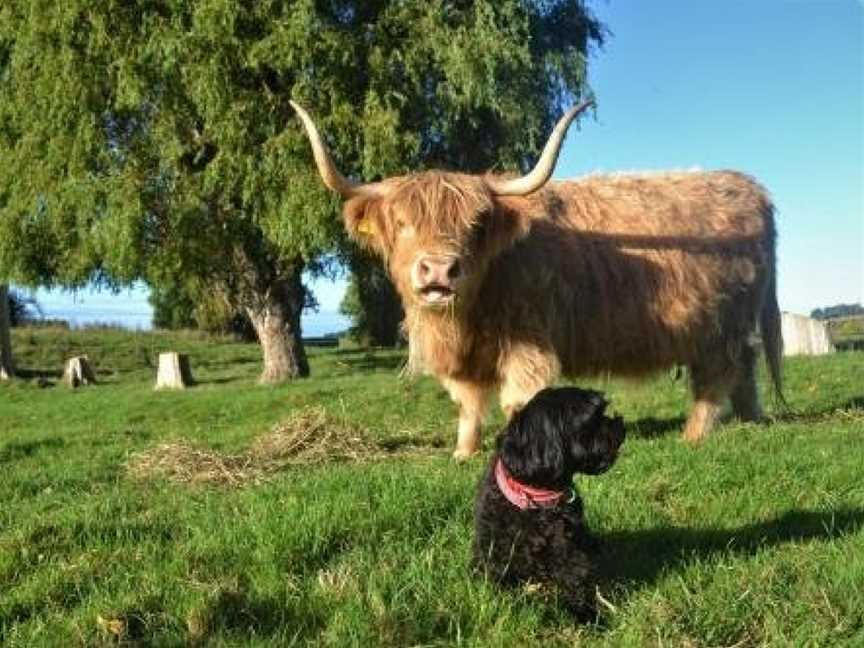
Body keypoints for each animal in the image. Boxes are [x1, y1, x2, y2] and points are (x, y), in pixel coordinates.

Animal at [290, 98, 784, 458]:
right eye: (400, 221)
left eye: (477, 223)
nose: (439, 271)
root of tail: (751, 187)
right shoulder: (468, 360)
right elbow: (468, 405)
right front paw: (462, 454)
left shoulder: (527, 342)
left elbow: (517, 400)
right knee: (747, 366)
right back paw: (752, 419)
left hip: (720, 327)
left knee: (718, 375)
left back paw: (695, 434)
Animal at [470, 384, 624, 616]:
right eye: (592, 420)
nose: (618, 422)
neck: (535, 498)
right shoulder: (492, 551)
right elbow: (497, 580)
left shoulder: (568, 548)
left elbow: (575, 579)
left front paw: (585, 614)